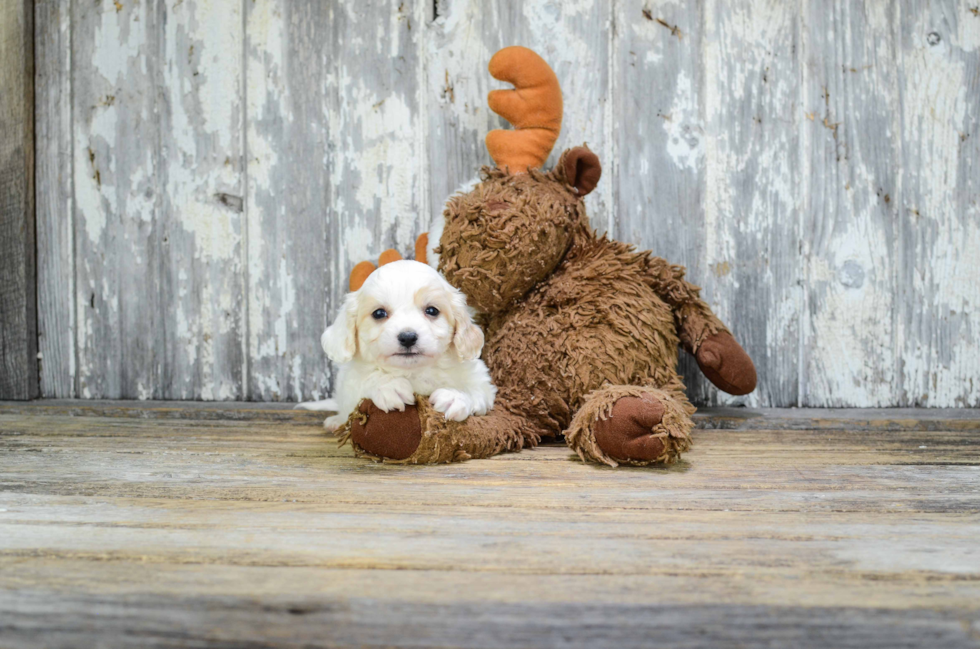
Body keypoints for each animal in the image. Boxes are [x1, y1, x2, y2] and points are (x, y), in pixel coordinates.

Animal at [316, 258, 494, 430]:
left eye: (432, 310)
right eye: (379, 313)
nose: (408, 337)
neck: (413, 372)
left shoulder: (481, 380)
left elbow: (477, 391)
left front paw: (455, 396)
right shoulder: (349, 384)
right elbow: (363, 381)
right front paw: (388, 385)